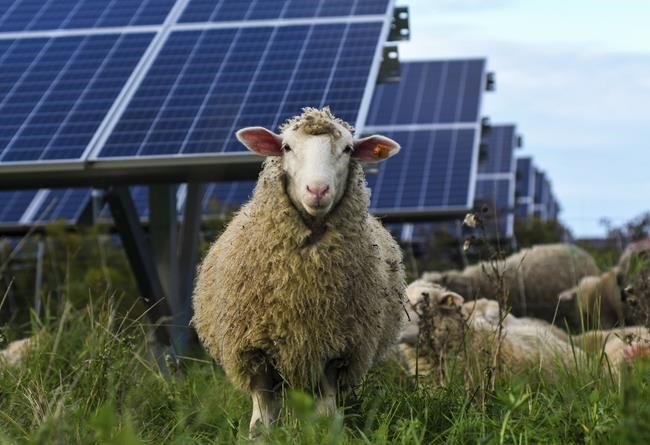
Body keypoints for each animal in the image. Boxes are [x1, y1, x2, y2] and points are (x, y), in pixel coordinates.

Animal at [192, 107, 405, 435]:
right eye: (287, 147)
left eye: (347, 149)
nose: (317, 190)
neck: (303, 284)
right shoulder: (254, 351)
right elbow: (261, 421)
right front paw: (260, 436)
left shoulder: (337, 351)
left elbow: (327, 415)